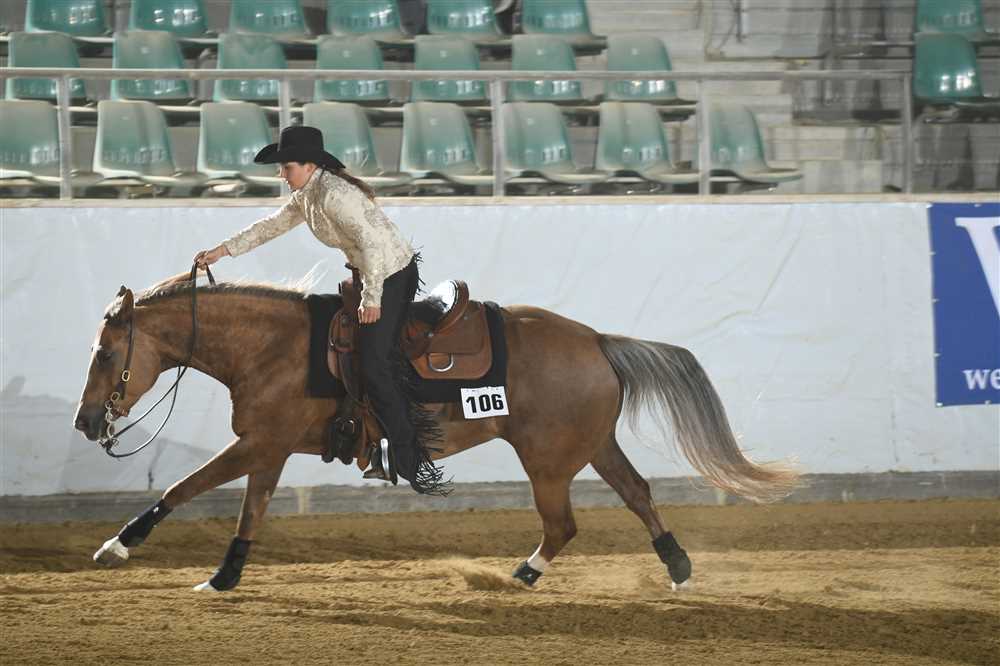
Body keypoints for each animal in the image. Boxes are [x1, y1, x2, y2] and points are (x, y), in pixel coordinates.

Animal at [73, 271, 797, 592]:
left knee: (564, 524)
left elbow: (187, 488)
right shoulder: (268, 449)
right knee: (638, 493)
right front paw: (215, 573)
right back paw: (676, 568)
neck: (277, 348)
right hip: (592, 447)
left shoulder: (260, 443)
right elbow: (238, 506)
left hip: (548, 461)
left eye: (106, 353)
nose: (84, 422)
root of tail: (597, 339)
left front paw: (126, 548)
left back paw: (523, 575)